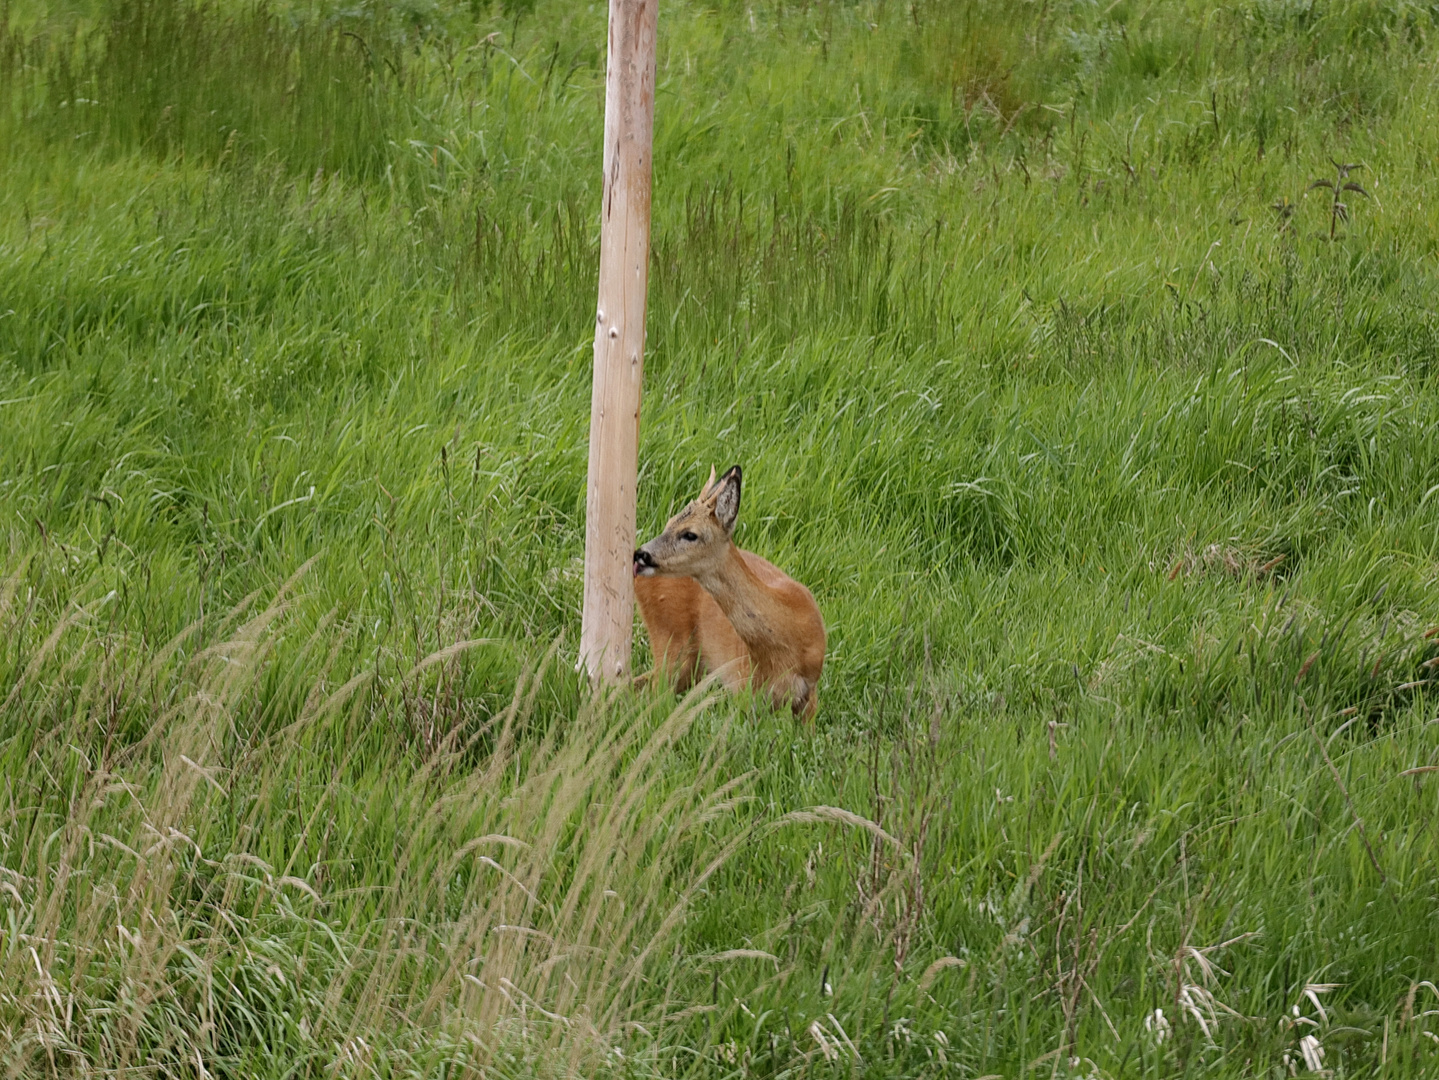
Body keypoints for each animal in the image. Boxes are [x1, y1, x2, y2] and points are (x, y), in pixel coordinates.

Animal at [636, 465, 828, 719]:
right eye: (669, 522)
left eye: (690, 534)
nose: (641, 554)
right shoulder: (744, 689)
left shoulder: (809, 694)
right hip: (671, 644)